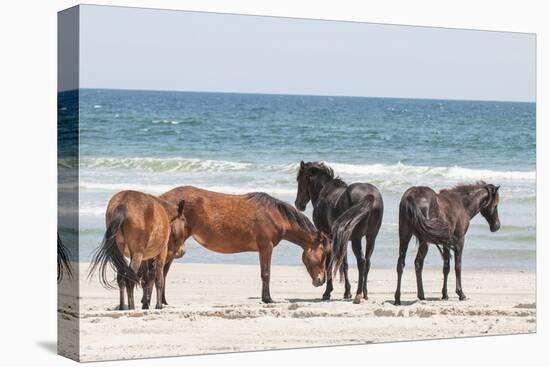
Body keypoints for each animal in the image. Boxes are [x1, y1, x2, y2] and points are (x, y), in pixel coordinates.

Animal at [160, 187, 332, 304]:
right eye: (323, 255)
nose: (321, 280)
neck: (275, 215)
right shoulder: (266, 247)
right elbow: (266, 274)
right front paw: (267, 299)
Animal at [298, 162, 384, 304]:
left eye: (299, 179)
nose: (298, 204)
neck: (325, 192)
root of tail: (371, 196)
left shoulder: (328, 236)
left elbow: (329, 262)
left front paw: (327, 292)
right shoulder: (342, 238)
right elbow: (344, 264)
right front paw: (347, 292)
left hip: (357, 238)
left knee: (361, 261)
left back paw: (358, 295)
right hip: (371, 237)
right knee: (367, 261)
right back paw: (365, 293)